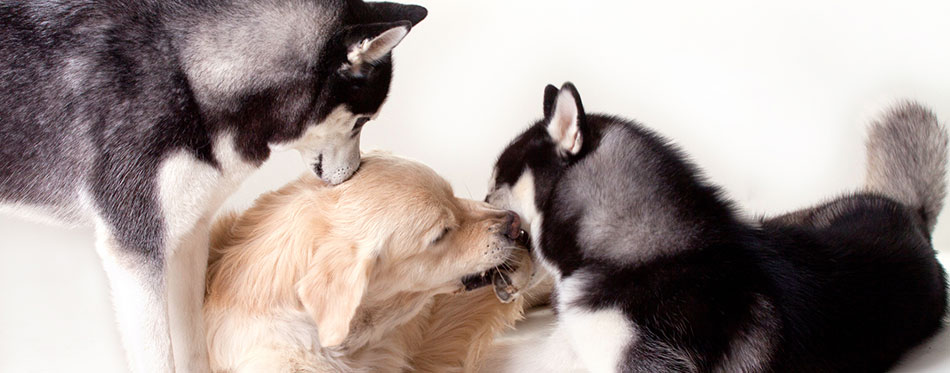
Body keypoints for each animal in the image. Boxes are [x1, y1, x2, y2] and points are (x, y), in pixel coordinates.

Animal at [0, 1, 426, 370]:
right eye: (362, 121)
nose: (356, 174)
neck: (188, 73)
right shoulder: (136, 254)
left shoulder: (188, 238)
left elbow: (192, 347)